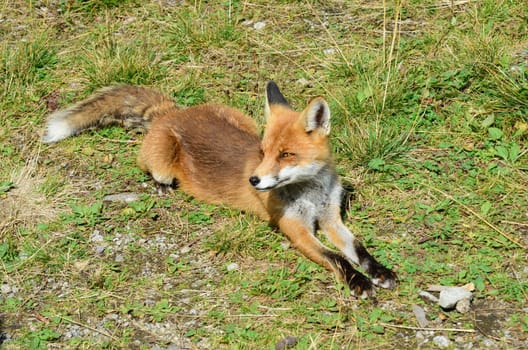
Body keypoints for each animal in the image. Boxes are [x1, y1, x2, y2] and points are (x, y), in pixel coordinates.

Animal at [43, 81, 398, 298]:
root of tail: (173, 112)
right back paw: (160, 188)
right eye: (262, 152)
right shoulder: (296, 229)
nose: (254, 181)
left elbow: (359, 250)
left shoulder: (331, 218)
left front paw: (380, 272)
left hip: (244, 120)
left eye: (286, 155)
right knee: (152, 171)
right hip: (161, 164)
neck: (310, 193)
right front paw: (359, 282)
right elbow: (337, 258)